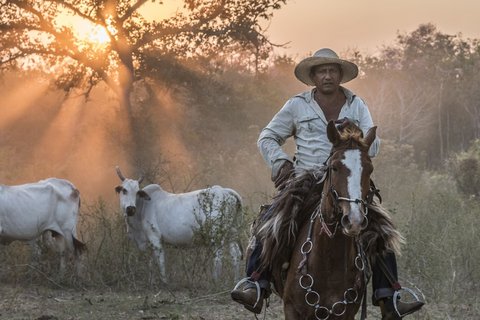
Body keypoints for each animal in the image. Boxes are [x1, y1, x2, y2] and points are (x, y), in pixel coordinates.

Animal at [114, 166, 244, 284]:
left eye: (137, 192)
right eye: (124, 190)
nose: (131, 209)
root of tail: (224, 191)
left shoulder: (155, 238)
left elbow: (160, 261)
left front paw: (164, 282)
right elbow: (151, 263)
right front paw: (151, 281)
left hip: (216, 235)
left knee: (218, 256)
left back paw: (215, 281)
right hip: (232, 232)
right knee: (235, 255)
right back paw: (236, 281)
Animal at [260, 120, 384, 320]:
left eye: (369, 169)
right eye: (334, 167)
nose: (354, 220)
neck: (328, 260)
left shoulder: (347, 314)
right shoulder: (291, 309)